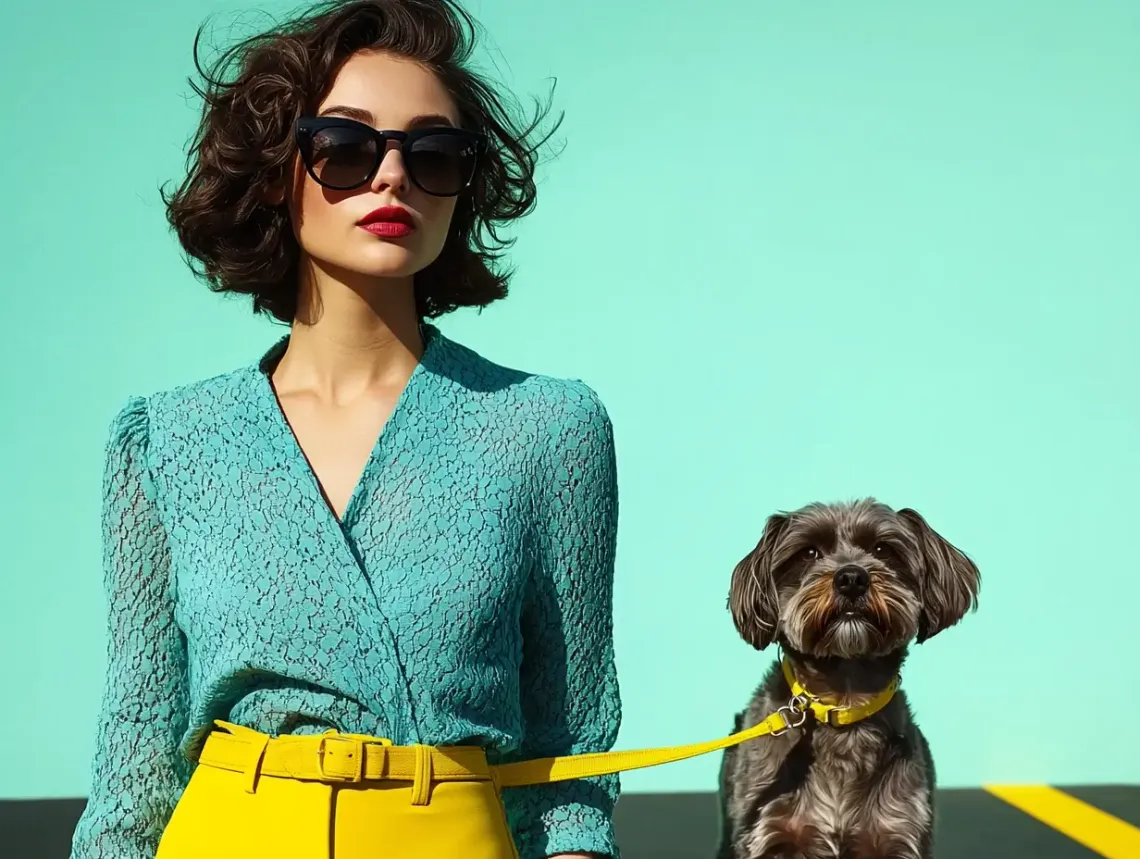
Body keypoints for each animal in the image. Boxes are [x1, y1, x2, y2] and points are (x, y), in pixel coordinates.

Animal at [715, 494, 975, 856]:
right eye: (809, 553)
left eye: (882, 549)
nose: (852, 578)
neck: (843, 702)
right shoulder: (770, 831)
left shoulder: (897, 832)